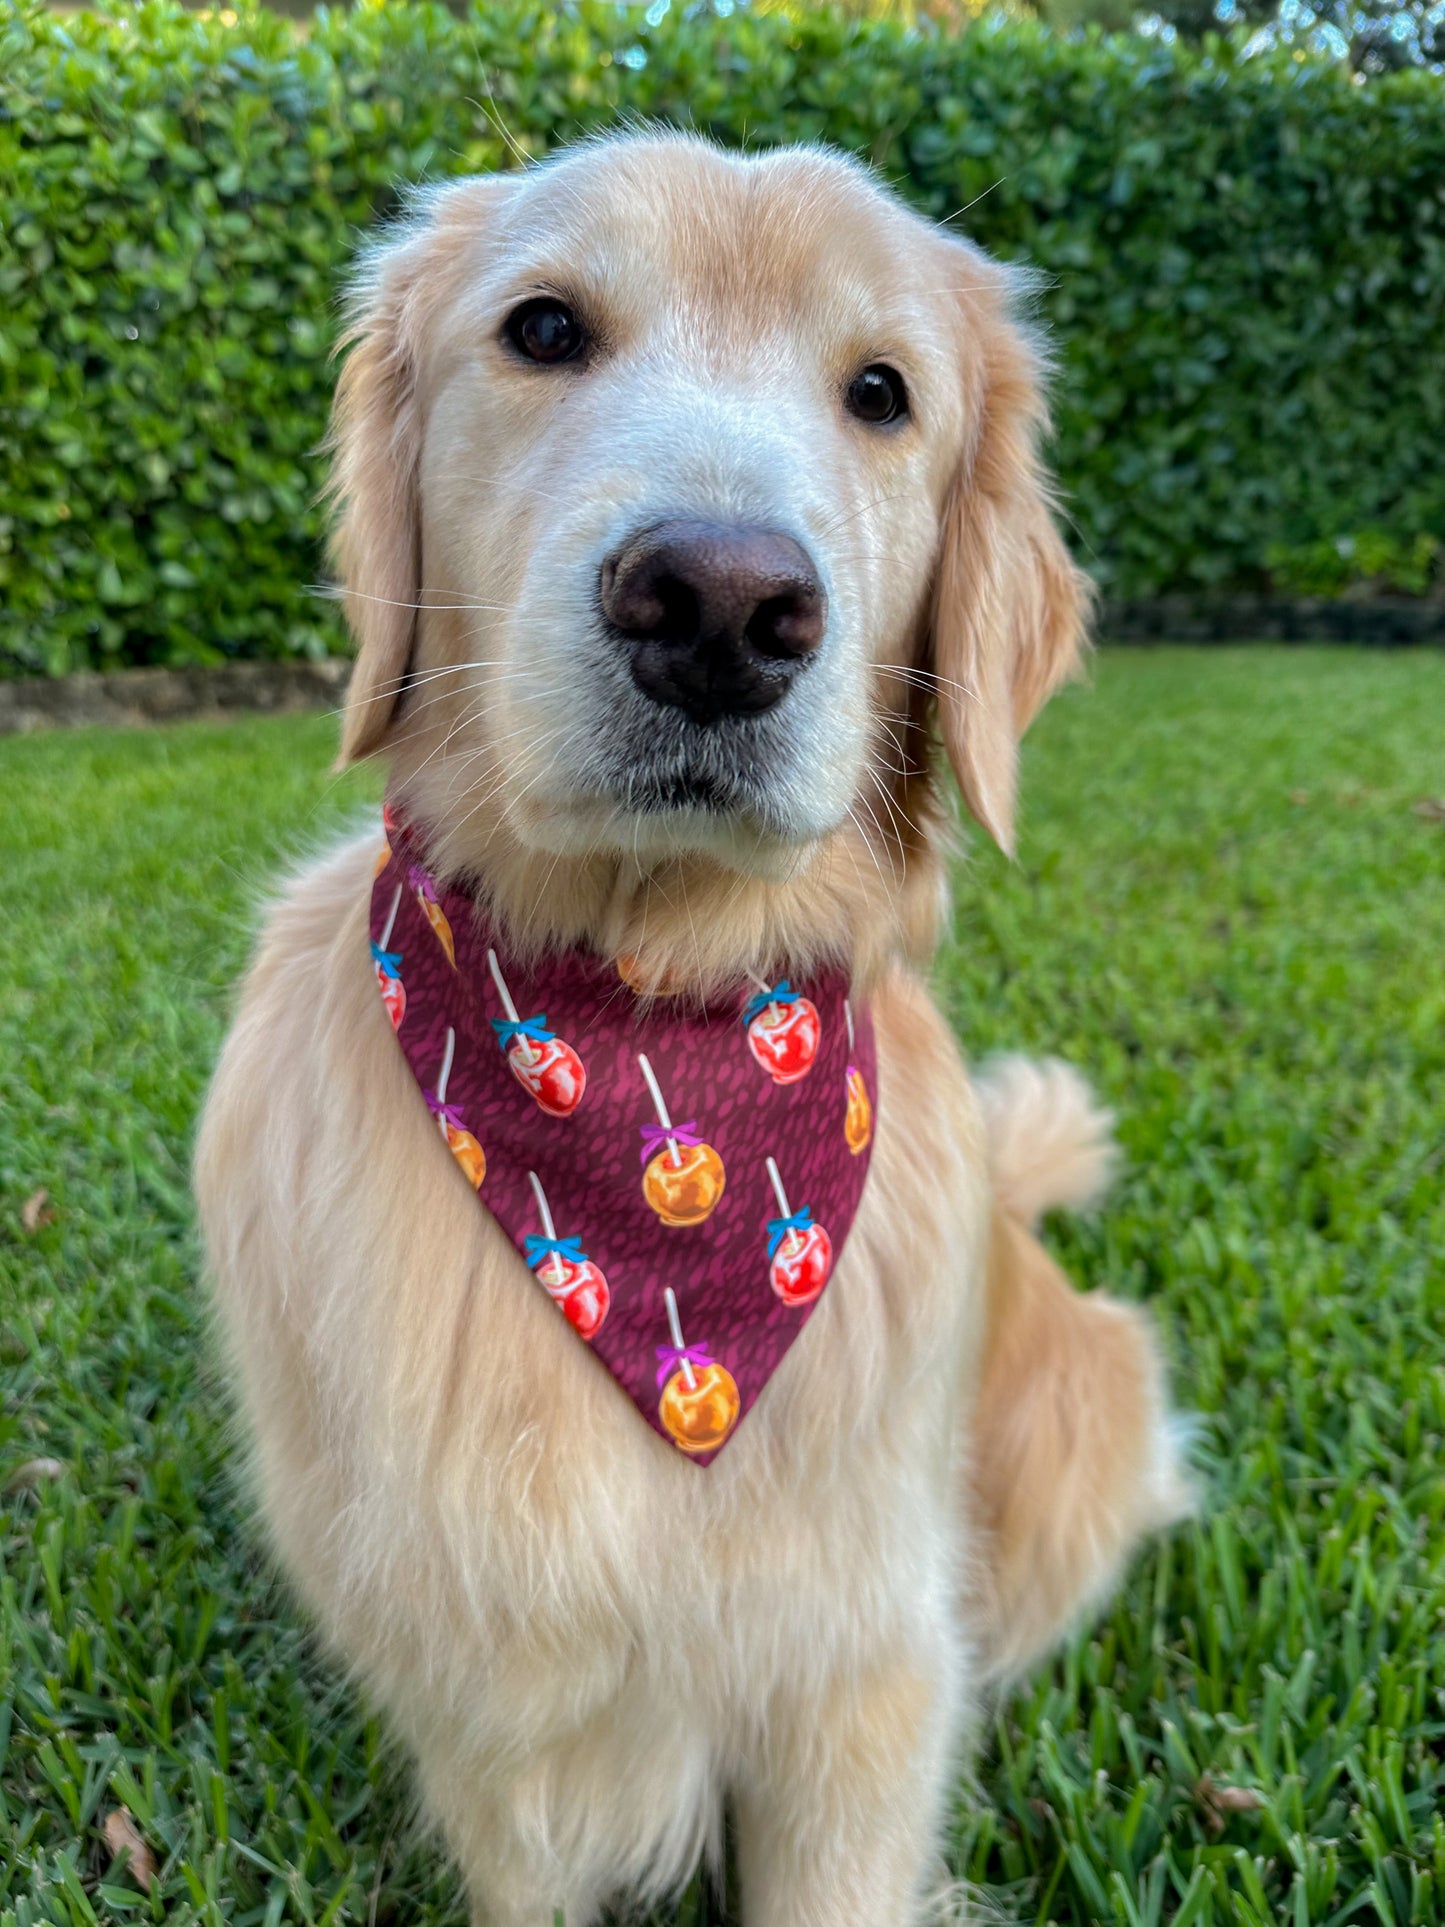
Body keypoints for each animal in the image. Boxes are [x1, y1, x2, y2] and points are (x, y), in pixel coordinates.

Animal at [192, 139, 1186, 1927]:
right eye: (542, 328)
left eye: (882, 392)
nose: (721, 605)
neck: (647, 1031)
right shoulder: (487, 1710)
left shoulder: (858, 1686)